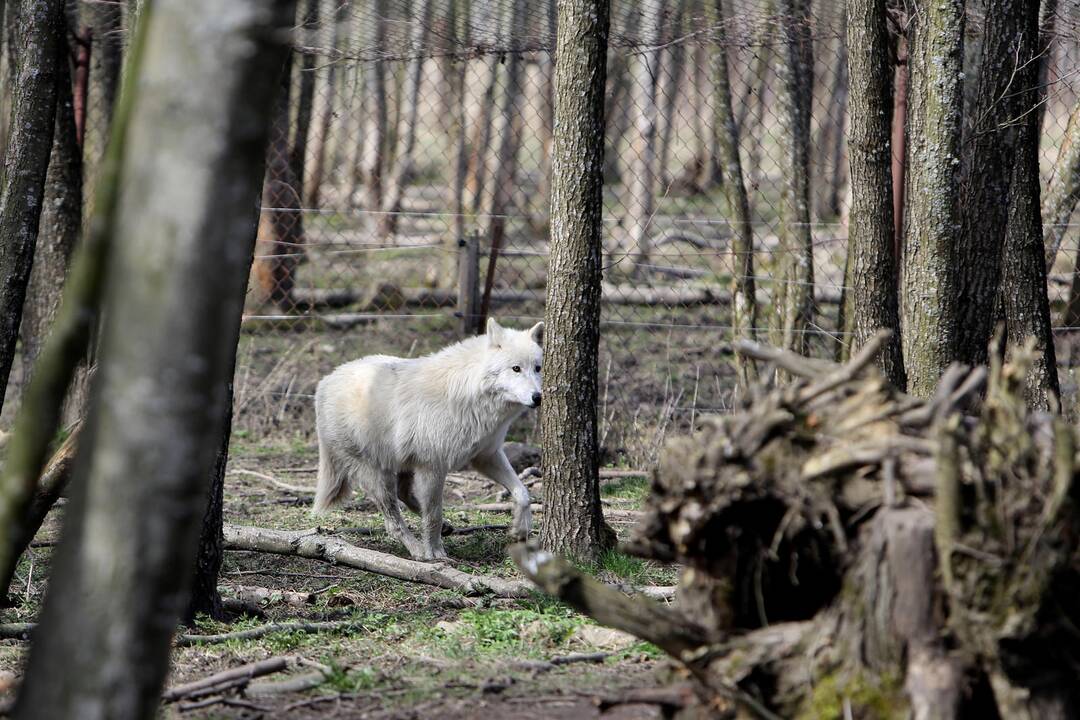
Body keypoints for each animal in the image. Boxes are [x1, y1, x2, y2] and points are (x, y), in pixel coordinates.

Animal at [315, 321, 544, 561]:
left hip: (403, 466)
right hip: (377, 476)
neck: (470, 393)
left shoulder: (486, 455)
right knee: (393, 522)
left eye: (537, 368)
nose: (538, 397)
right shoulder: (433, 467)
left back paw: (445, 528)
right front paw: (435, 553)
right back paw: (418, 551)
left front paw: (521, 529)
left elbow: (523, 493)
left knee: (404, 494)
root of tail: (324, 383)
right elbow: (434, 514)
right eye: (516, 368)